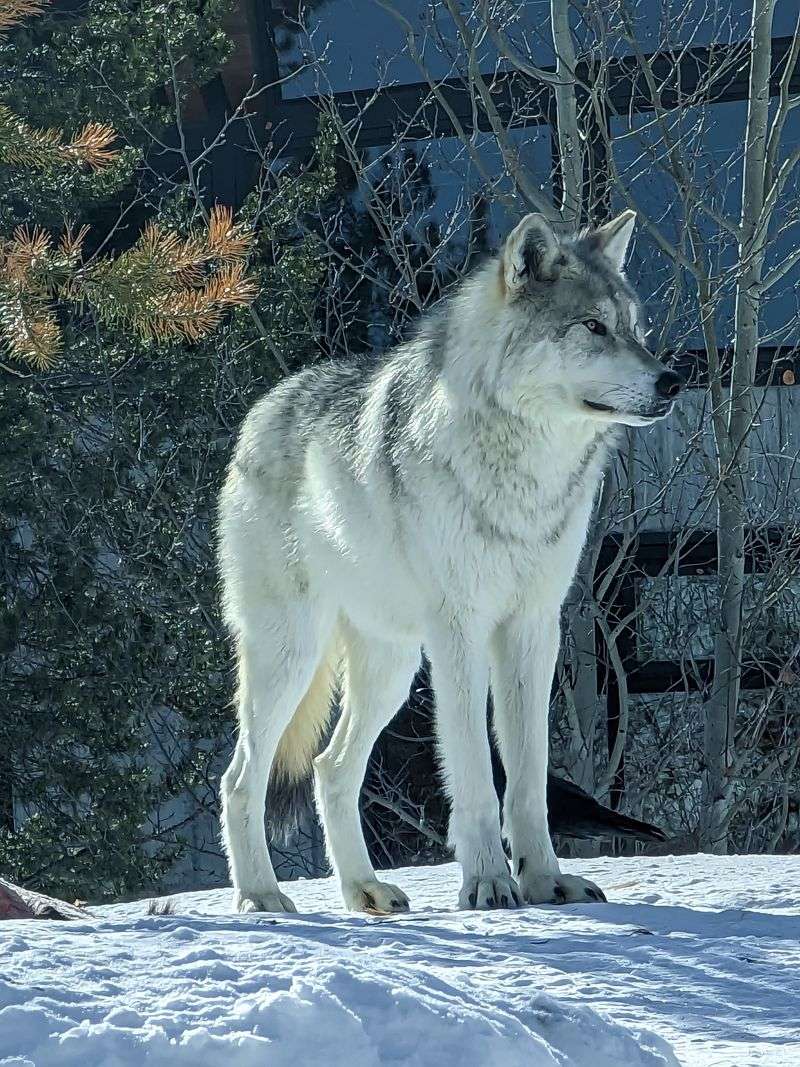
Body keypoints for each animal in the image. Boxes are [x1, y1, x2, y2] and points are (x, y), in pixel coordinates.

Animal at [217, 210, 683, 914]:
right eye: (592, 326)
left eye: (635, 327)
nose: (672, 381)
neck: (524, 478)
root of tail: (260, 409)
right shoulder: (459, 633)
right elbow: (474, 775)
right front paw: (488, 882)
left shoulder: (532, 629)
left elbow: (528, 781)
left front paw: (545, 882)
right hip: (291, 656)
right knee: (240, 778)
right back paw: (262, 896)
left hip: (390, 667)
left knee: (330, 769)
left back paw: (363, 890)